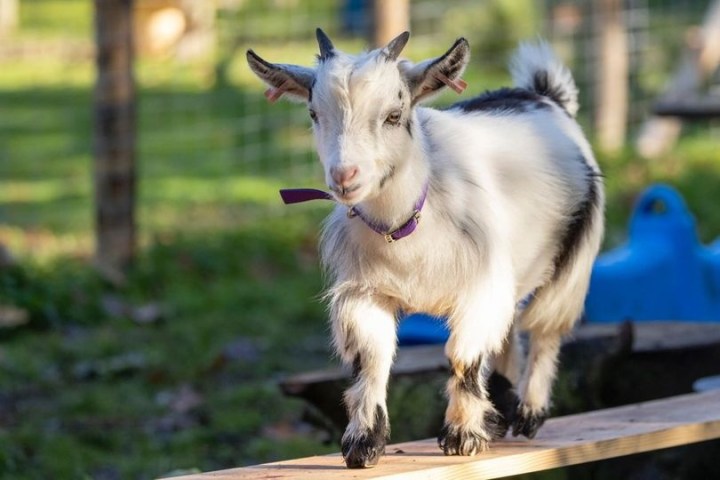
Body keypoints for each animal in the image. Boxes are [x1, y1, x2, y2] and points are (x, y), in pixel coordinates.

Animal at [246, 29, 604, 469]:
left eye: (393, 115)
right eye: (314, 113)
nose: (345, 176)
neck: (409, 223)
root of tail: (544, 95)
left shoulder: (479, 290)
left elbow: (463, 356)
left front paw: (462, 436)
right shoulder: (366, 293)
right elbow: (372, 357)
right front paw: (363, 443)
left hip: (573, 261)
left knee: (544, 330)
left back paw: (528, 412)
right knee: (508, 332)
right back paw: (500, 412)